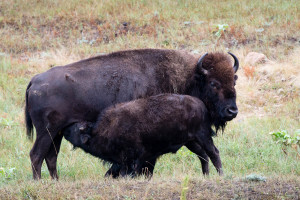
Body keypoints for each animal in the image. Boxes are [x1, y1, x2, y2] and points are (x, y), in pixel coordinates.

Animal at [63, 94, 223, 178]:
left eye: (76, 129)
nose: (65, 128)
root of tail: (201, 104)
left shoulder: (133, 158)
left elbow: (129, 171)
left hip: (202, 136)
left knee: (213, 152)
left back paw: (220, 174)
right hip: (190, 142)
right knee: (203, 155)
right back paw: (206, 175)